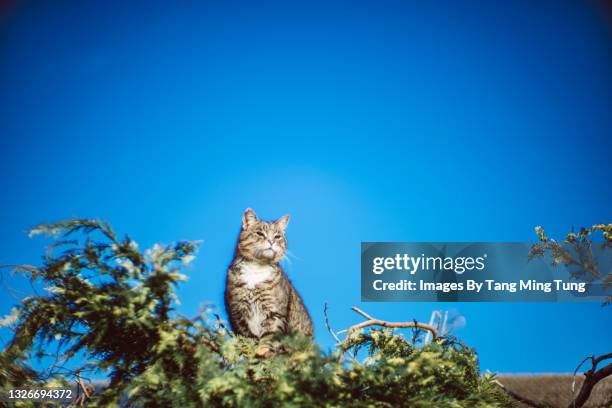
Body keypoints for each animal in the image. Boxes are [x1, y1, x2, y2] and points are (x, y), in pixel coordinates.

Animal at [224, 209, 310, 356]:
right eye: (260, 233)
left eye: (277, 236)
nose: (271, 241)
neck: (256, 270)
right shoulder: (237, 312)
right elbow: (247, 336)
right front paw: (251, 350)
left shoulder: (275, 312)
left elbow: (270, 335)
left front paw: (263, 350)